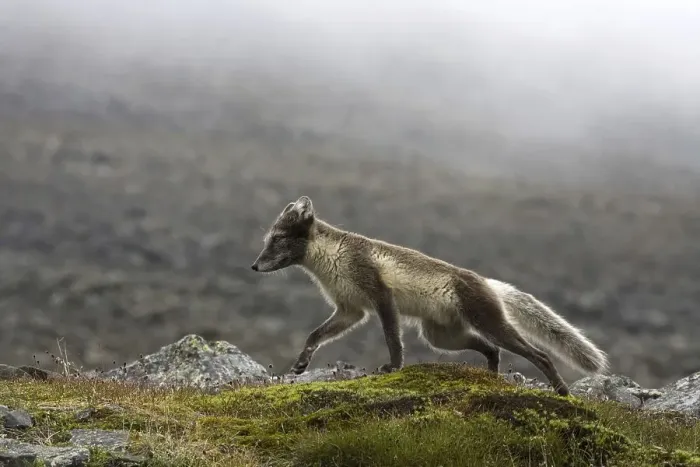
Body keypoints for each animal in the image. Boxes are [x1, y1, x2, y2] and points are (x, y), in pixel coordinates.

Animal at [250, 196, 610, 396]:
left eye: (278, 239)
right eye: (268, 239)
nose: (253, 266)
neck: (332, 259)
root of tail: (487, 281)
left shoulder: (381, 297)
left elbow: (393, 339)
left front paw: (393, 368)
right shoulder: (350, 310)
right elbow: (314, 335)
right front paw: (300, 365)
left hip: (487, 324)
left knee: (540, 355)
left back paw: (562, 392)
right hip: (441, 337)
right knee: (491, 350)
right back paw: (491, 379)